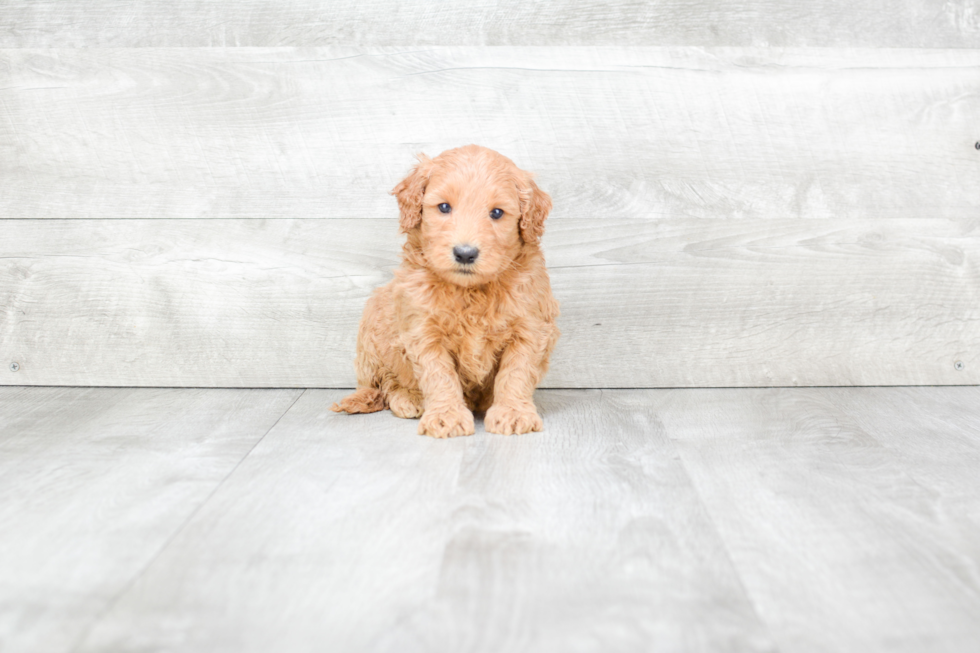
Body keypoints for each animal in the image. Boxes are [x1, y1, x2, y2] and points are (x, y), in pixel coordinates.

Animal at [332, 145, 560, 436]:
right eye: (443, 207)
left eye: (497, 213)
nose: (465, 253)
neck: (470, 291)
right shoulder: (423, 330)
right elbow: (439, 375)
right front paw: (446, 416)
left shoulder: (530, 326)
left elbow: (516, 372)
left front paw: (512, 412)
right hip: (372, 324)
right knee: (380, 383)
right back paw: (405, 398)